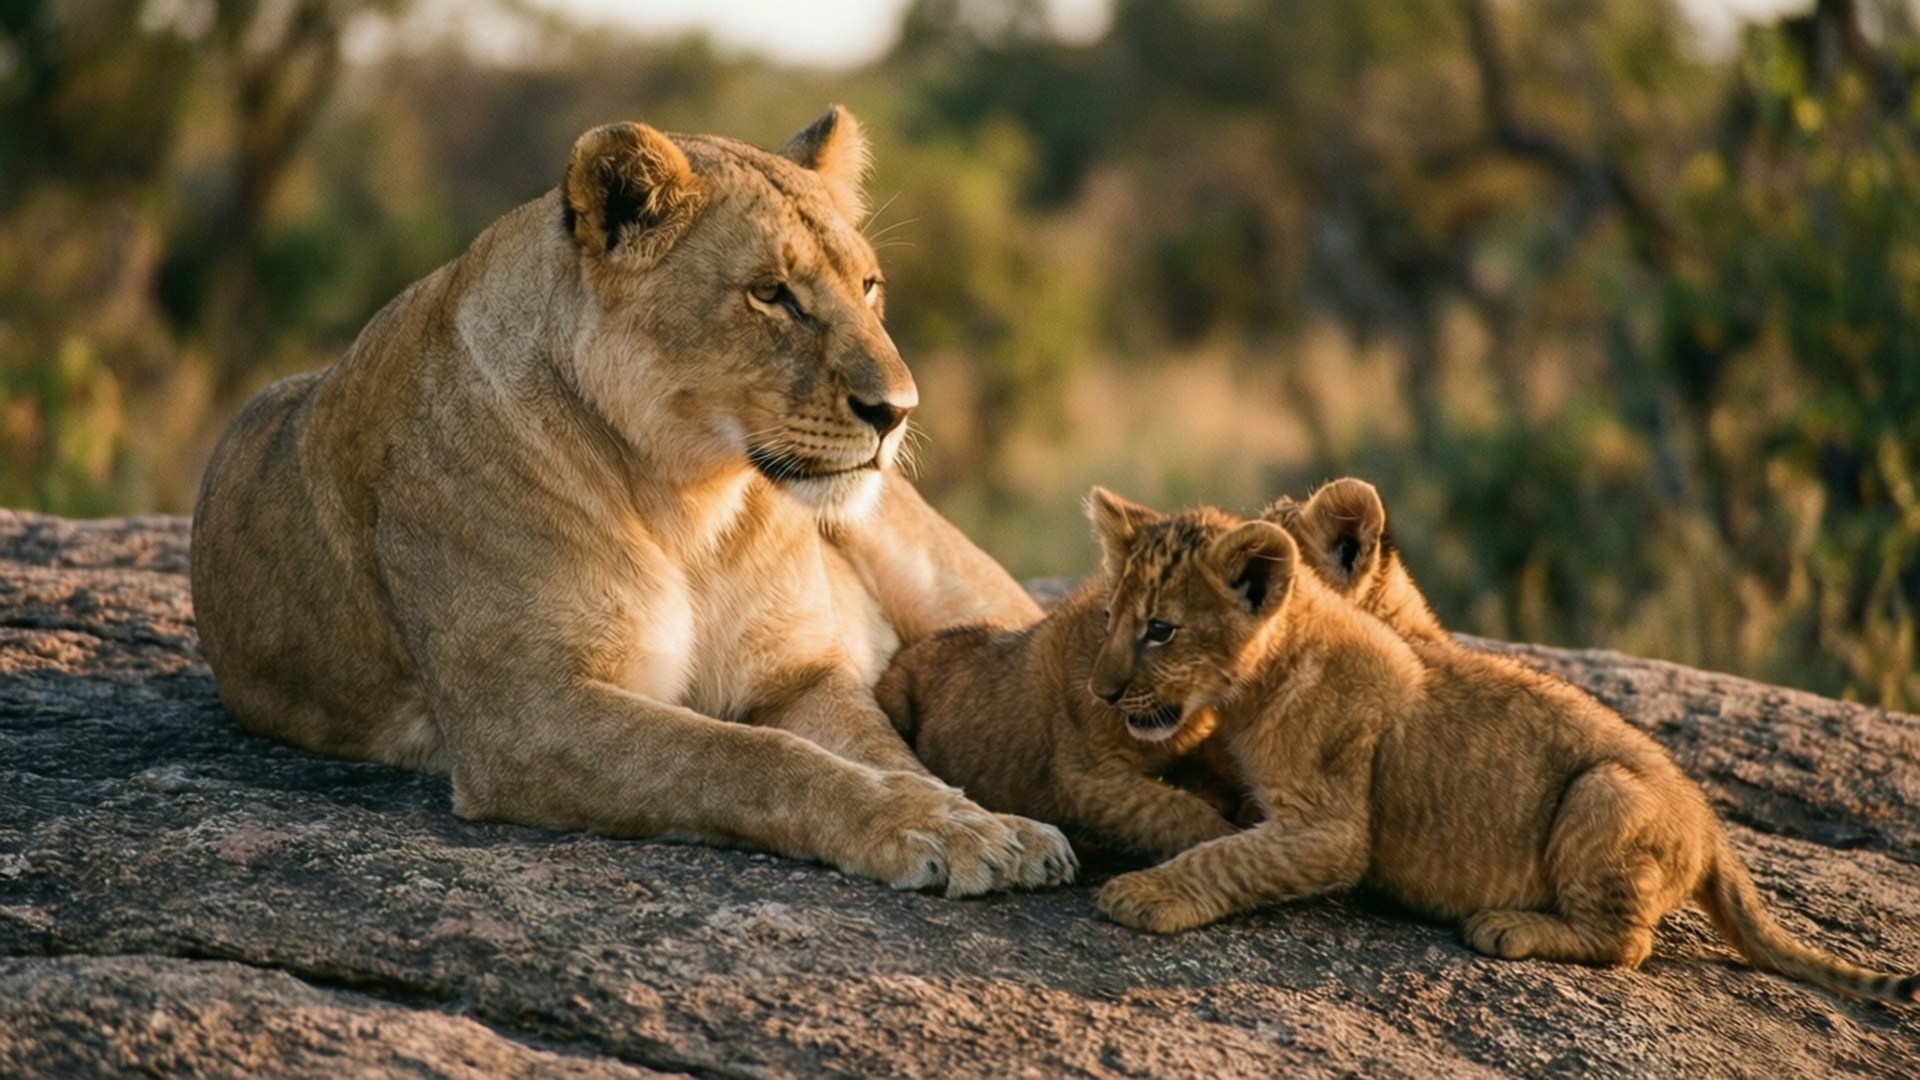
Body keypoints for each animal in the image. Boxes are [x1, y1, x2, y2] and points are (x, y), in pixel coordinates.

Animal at [190, 108, 1076, 897]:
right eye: (771, 294)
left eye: (869, 286)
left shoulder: (799, 672)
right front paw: (931, 827)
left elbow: (884, 752)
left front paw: (974, 822)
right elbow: (746, 758)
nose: (897, 410)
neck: (691, 498)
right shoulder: (528, 716)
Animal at [1079, 488, 1917, 1004]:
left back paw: (1508, 926)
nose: (1102, 692)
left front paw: (1147, 892)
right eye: (1110, 618)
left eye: (1161, 630)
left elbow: (1233, 856)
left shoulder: (1331, 828)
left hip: (1604, 792)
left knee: (1630, 944)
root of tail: (1715, 832)